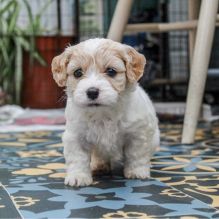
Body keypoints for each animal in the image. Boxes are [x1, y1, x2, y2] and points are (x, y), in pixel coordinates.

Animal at [52, 37, 160, 186]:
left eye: (111, 71)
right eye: (78, 73)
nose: (92, 92)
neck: (102, 113)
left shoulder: (137, 134)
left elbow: (136, 154)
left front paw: (137, 172)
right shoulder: (75, 136)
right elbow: (77, 158)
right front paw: (78, 176)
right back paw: (100, 166)